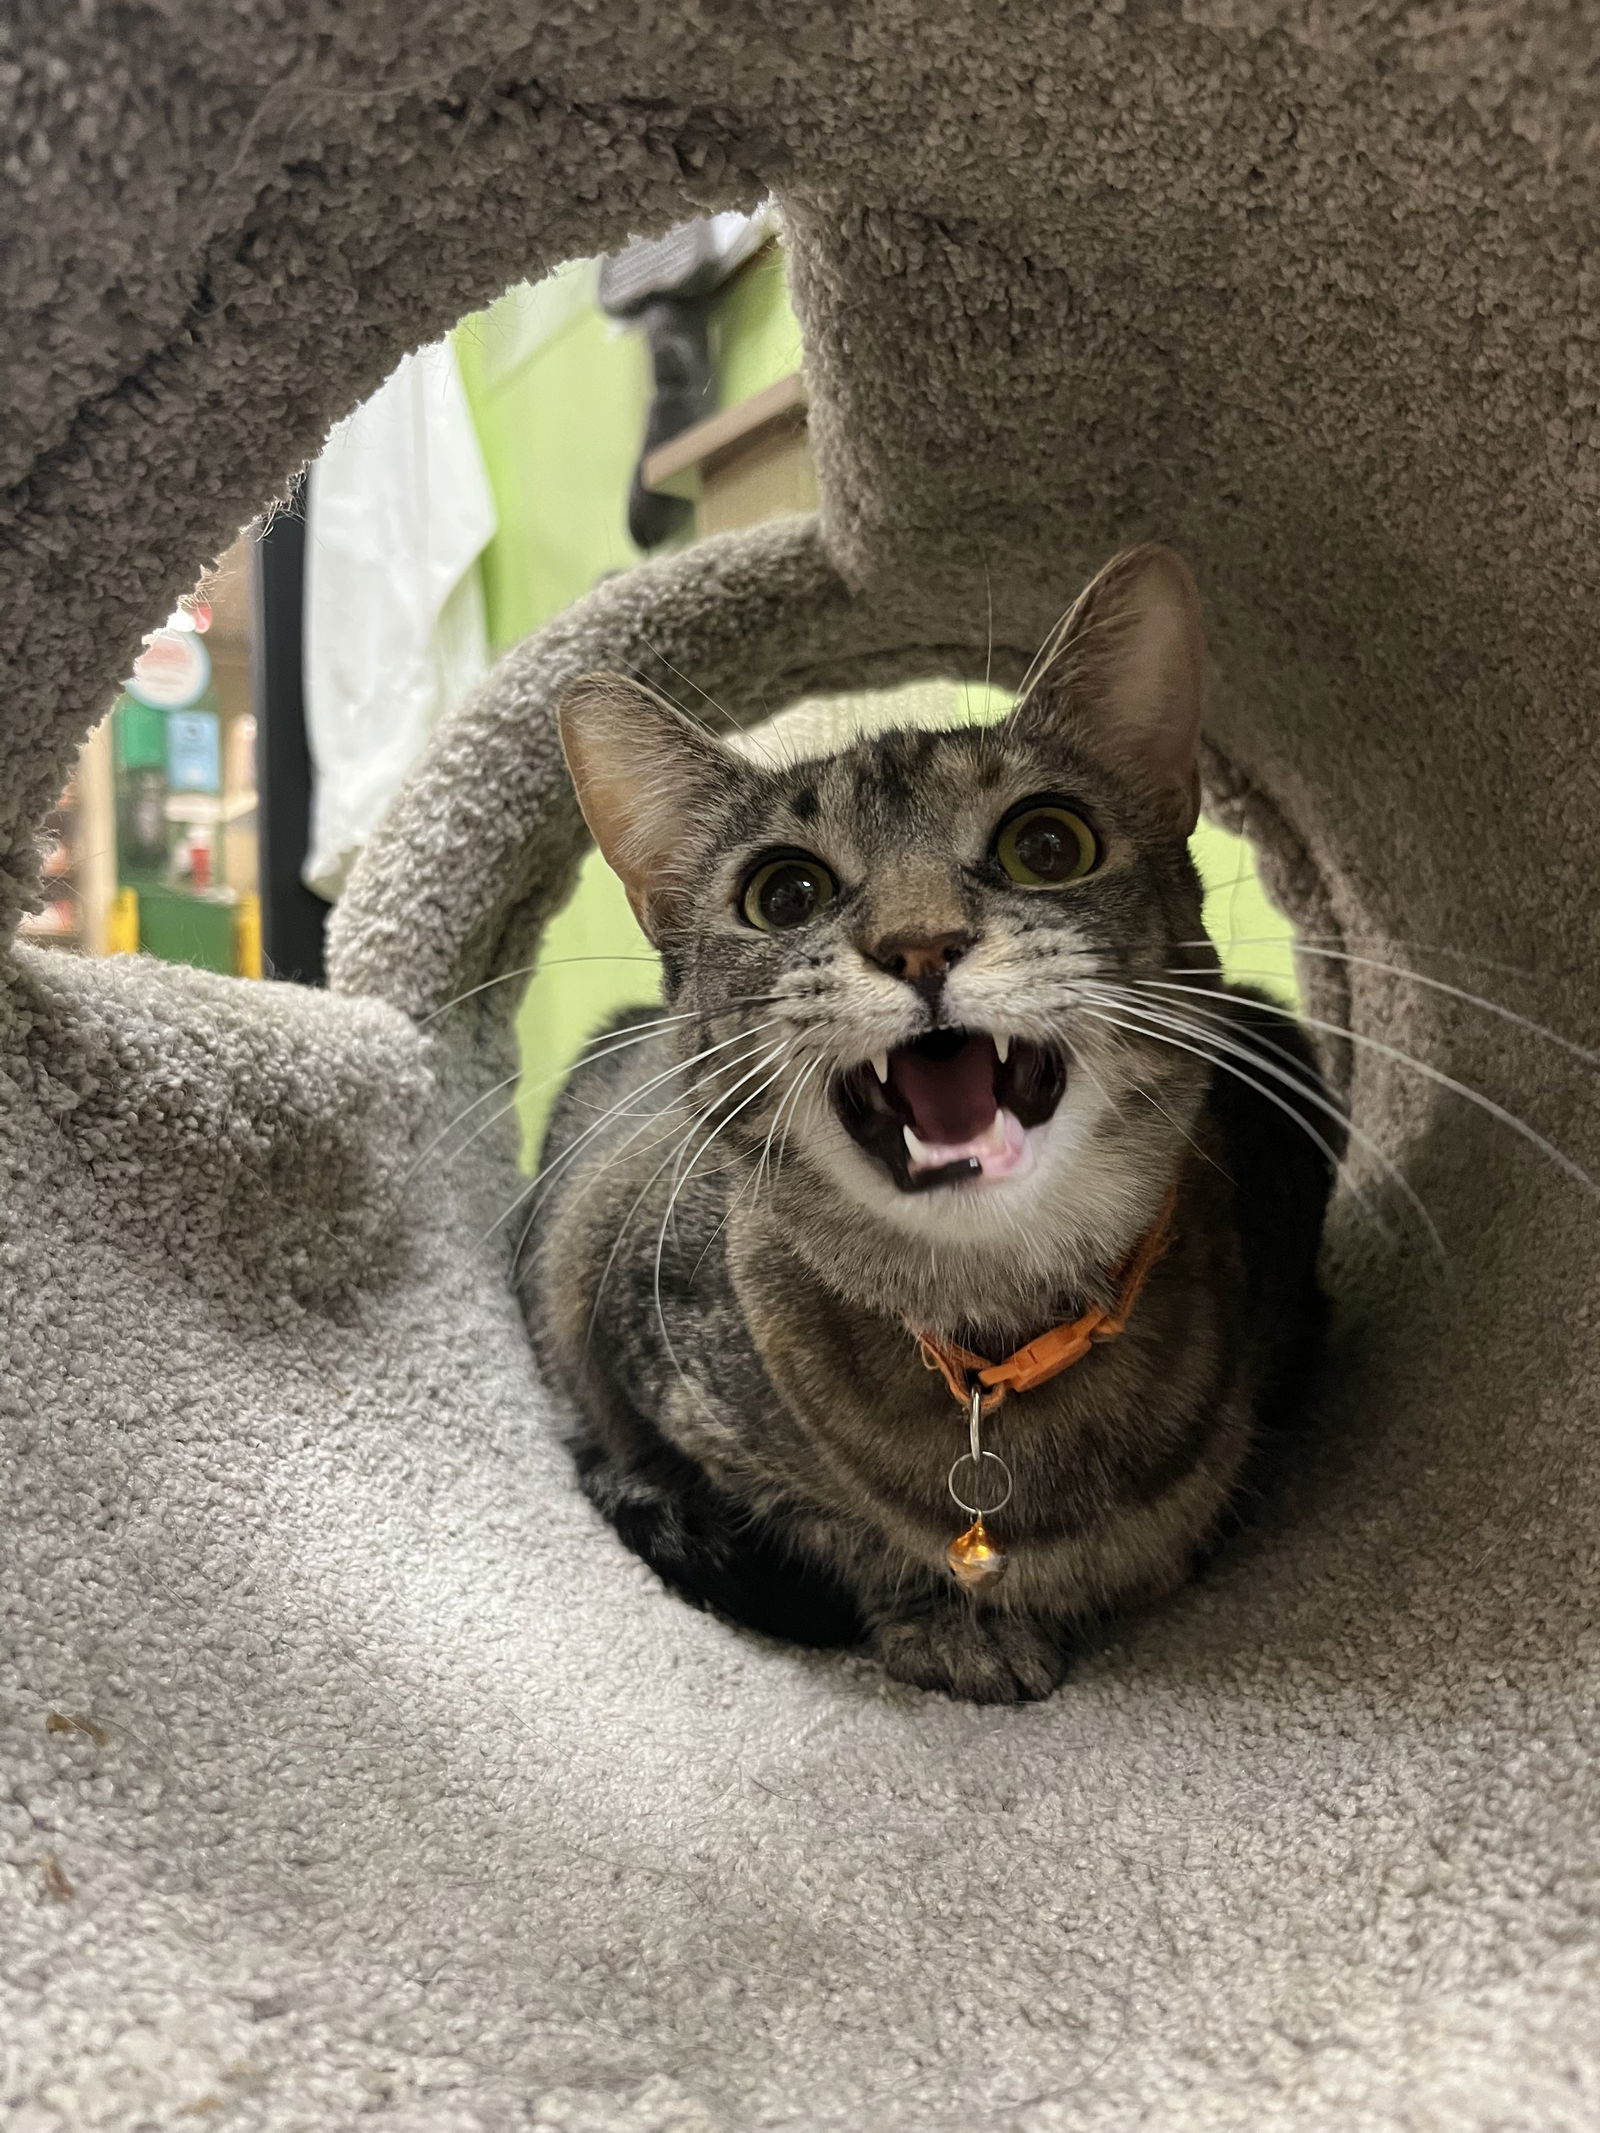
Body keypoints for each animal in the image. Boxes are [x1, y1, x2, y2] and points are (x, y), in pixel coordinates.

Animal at [526, 546, 1339, 1697]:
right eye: (784, 894)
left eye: (1047, 843)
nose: (920, 942)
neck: (992, 1323)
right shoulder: (621, 1330)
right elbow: (830, 1525)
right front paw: (953, 1624)